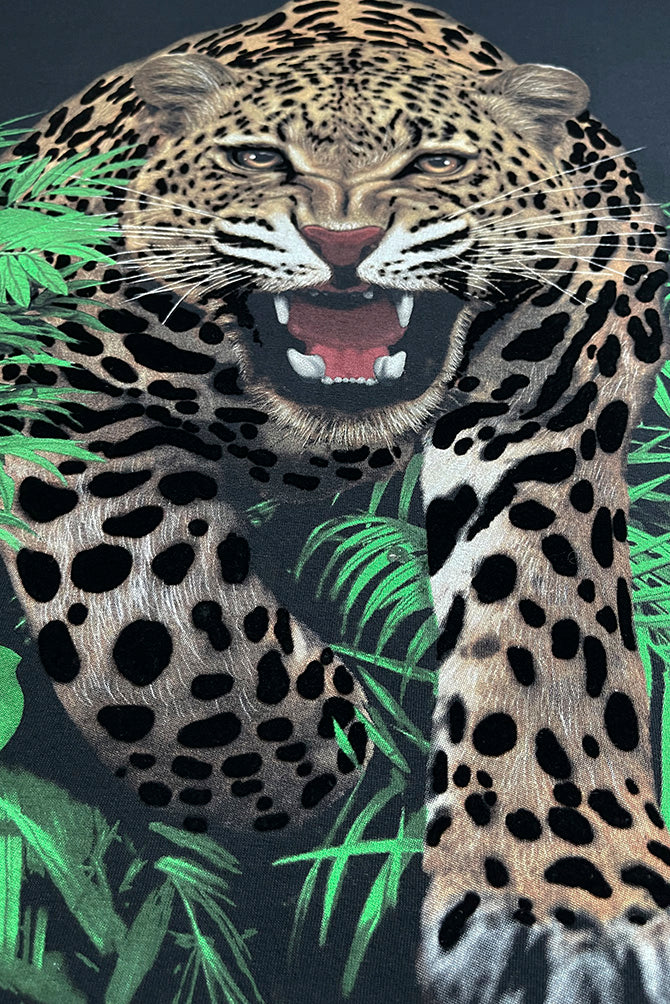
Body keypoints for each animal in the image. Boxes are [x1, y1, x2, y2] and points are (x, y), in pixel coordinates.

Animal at [1, 0, 670, 1001]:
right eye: (256, 157)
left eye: (436, 162)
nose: (343, 242)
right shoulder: (44, 360)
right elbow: (149, 627)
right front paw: (315, 754)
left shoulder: (570, 358)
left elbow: (543, 627)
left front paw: (559, 905)